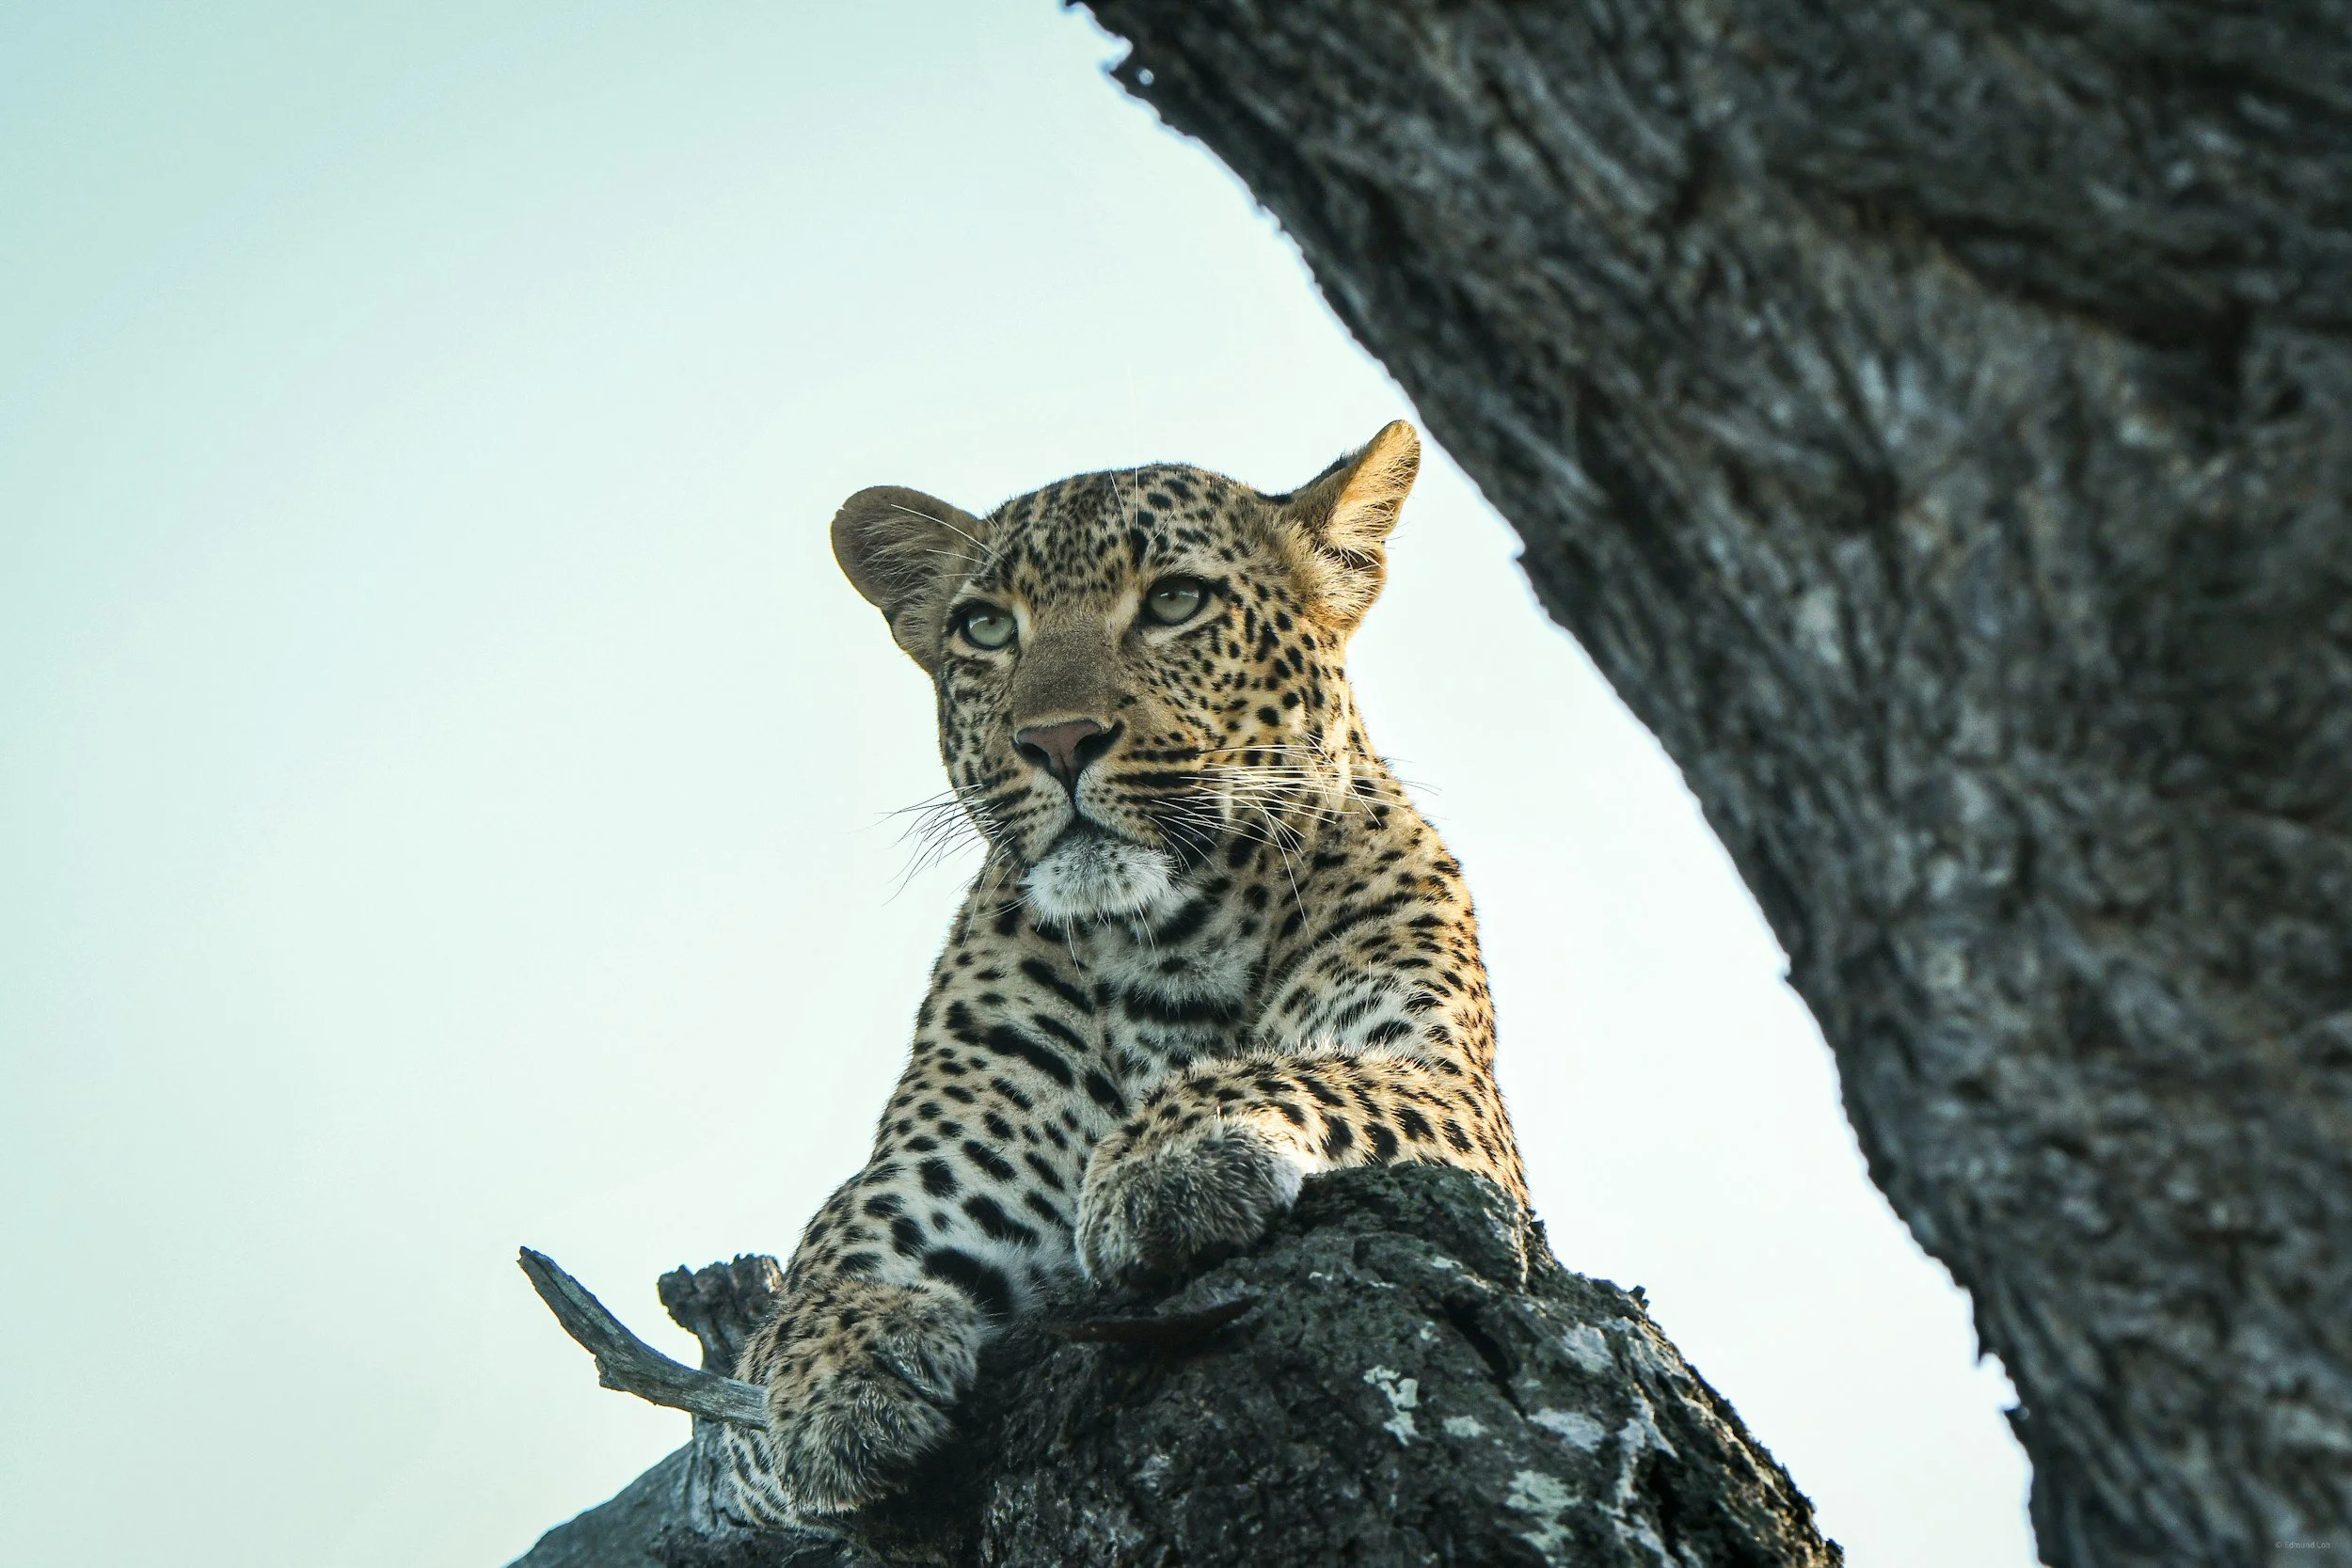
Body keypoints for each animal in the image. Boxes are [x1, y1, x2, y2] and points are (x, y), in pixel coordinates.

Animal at [725, 421, 1531, 1524]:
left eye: (1175, 601)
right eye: (985, 626)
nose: (1056, 739)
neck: (1173, 943)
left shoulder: (1443, 1084)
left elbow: (1311, 1069)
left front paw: (1165, 1158)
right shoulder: (924, 1173)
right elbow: (824, 1263)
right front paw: (834, 1381)